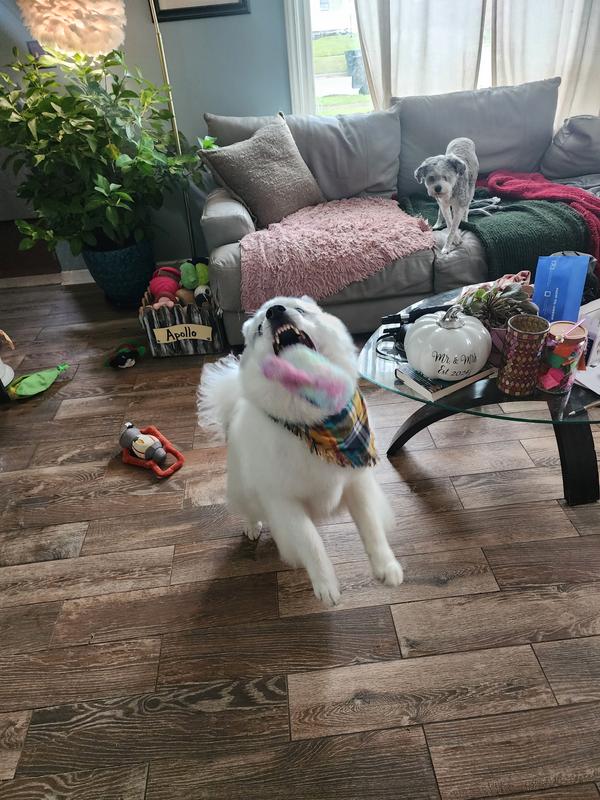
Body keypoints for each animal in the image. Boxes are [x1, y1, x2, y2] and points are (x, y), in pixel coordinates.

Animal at [198, 296, 403, 606]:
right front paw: (326, 586)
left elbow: (371, 527)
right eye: (260, 328)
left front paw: (386, 566)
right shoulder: (284, 501)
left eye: (298, 309)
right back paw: (252, 526)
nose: (275, 311)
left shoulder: (356, 482)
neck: (315, 423)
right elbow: (311, 544)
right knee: (249, 510)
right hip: (243, 491)